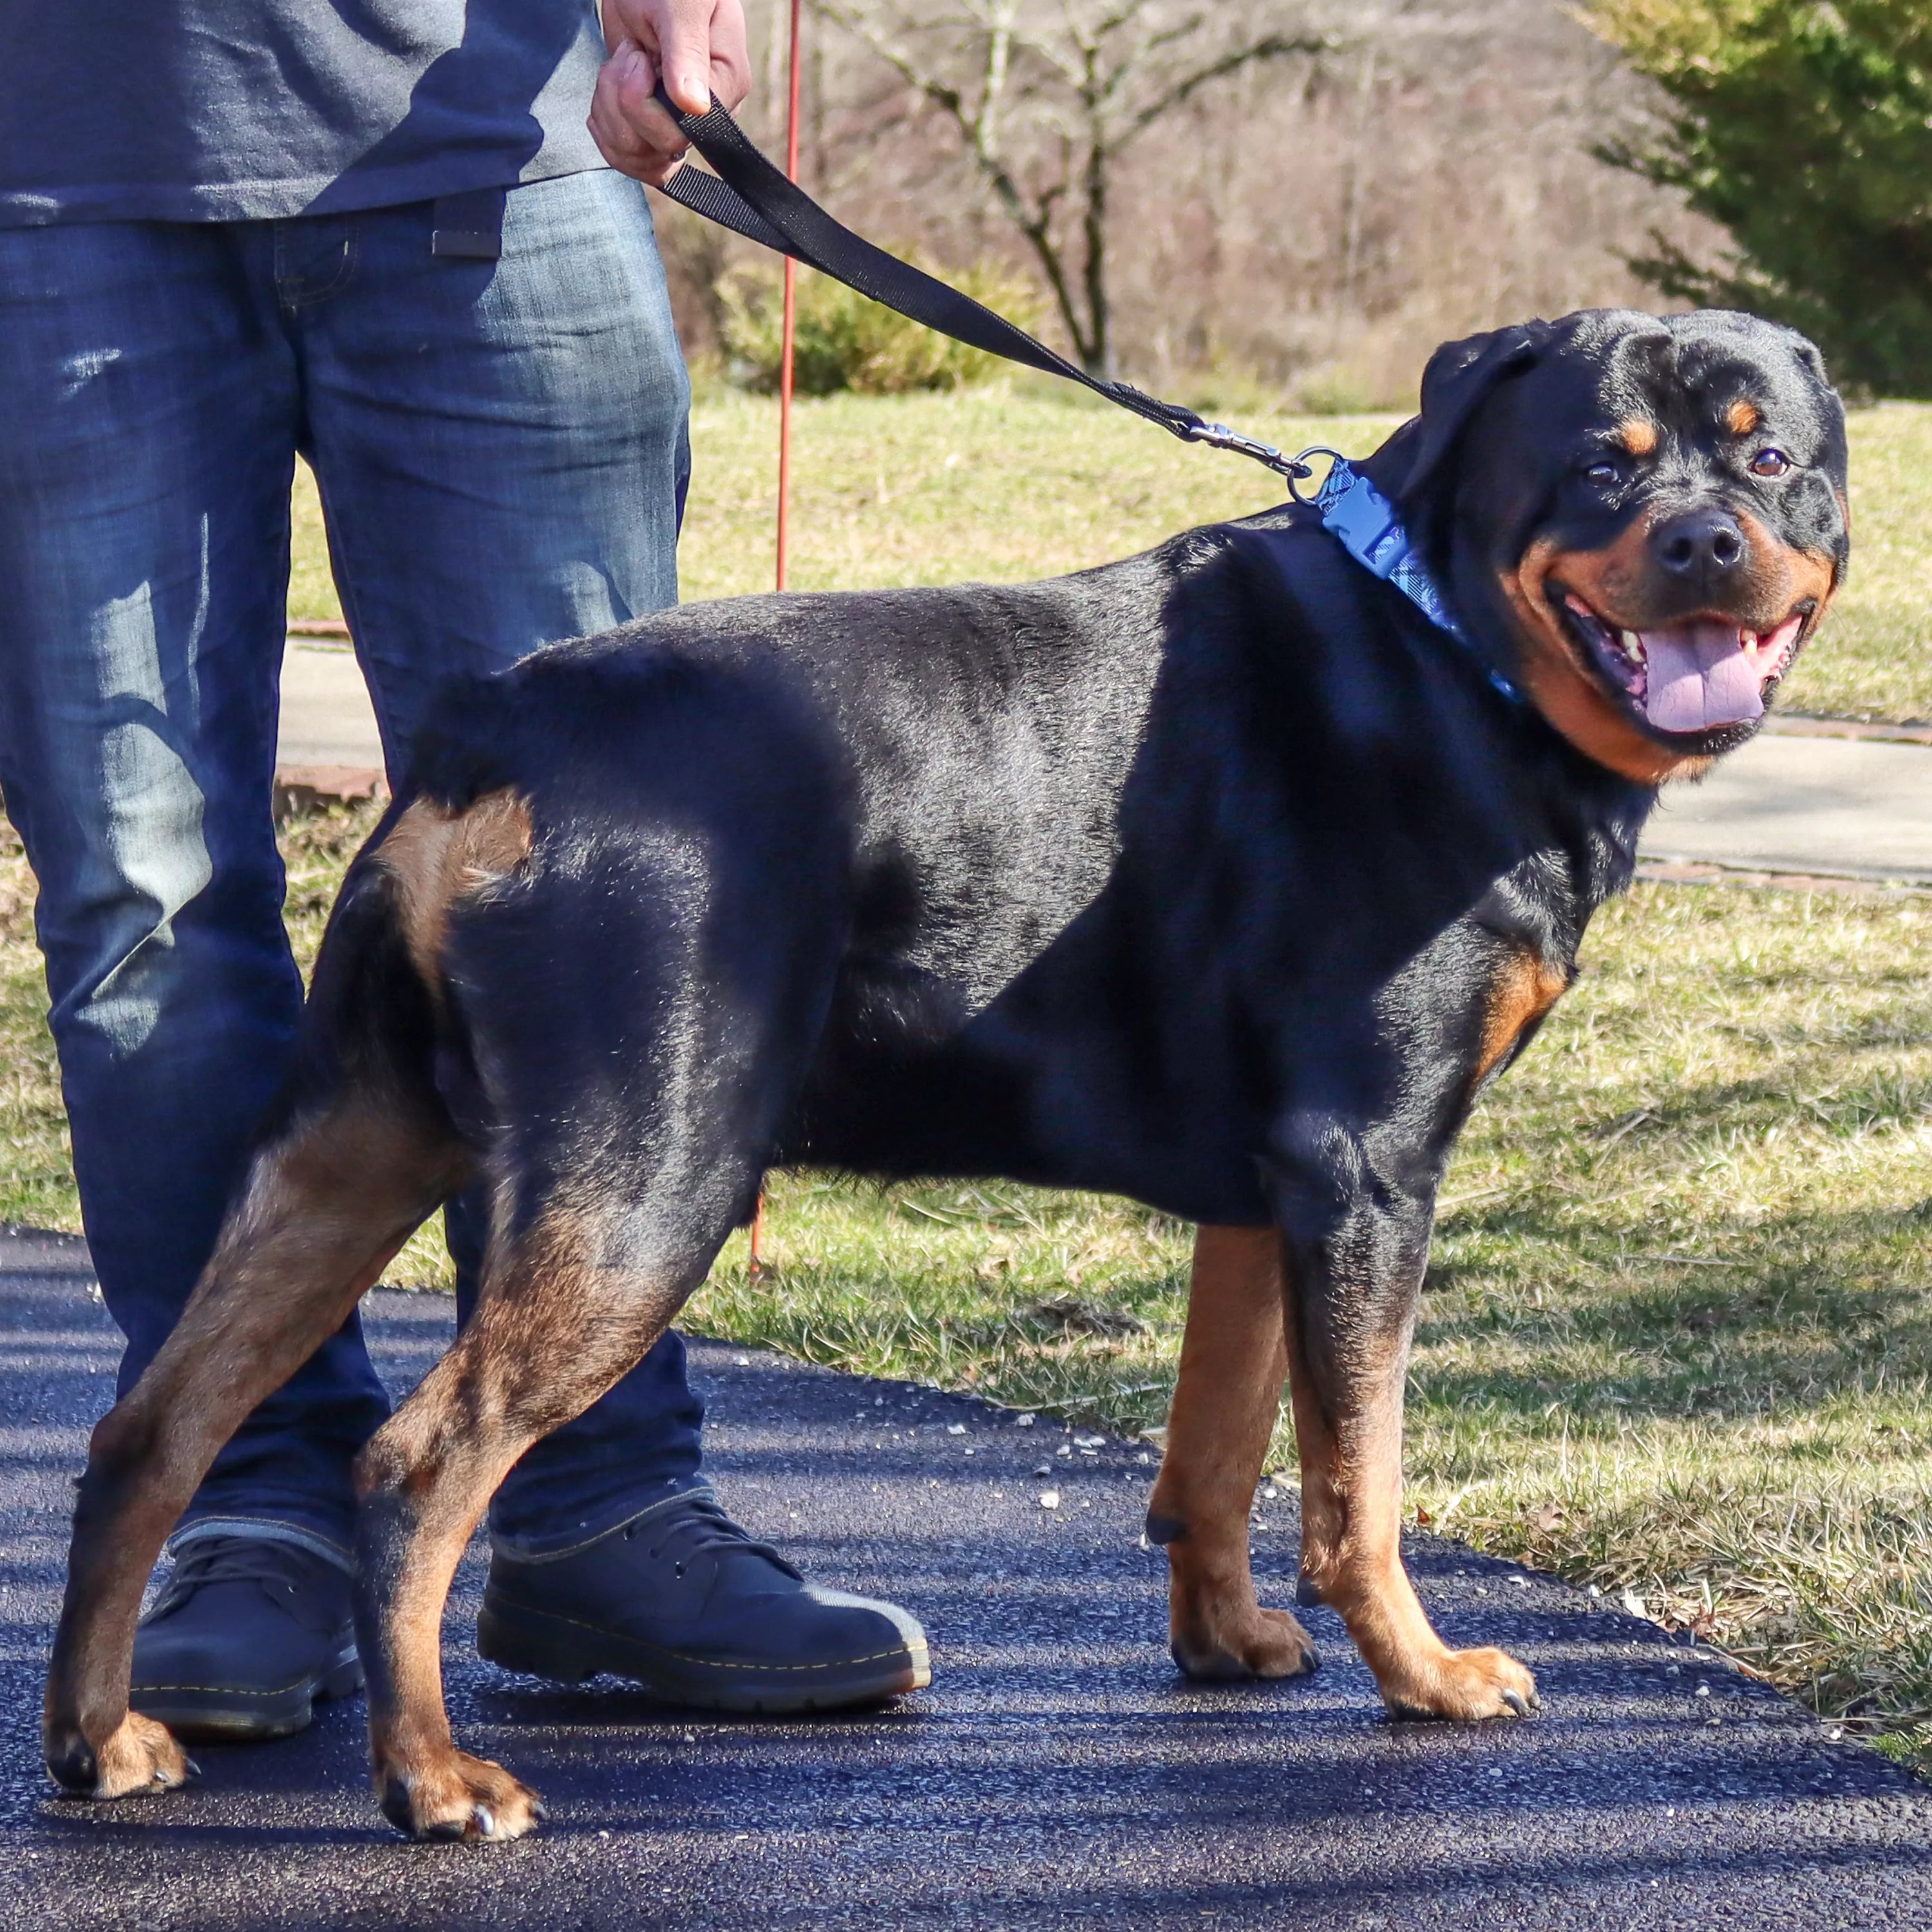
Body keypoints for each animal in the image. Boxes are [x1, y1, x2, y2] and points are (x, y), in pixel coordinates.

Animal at [45, 305, 1847, 1839]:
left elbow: (1220, 1438)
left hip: (350, 1142)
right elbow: (1361, 1473)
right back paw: (432, 1780)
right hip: (644, 1176)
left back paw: (100, 1739)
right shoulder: (1369, 1164)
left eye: (1769, 458)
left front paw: (1228, 1638)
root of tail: (491, 738)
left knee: (154, 1420)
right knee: (416, 1464)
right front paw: (1423, 1671)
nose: (1704, 540)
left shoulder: (1272, 1188)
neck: (1444, 640)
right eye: (1602, 463)